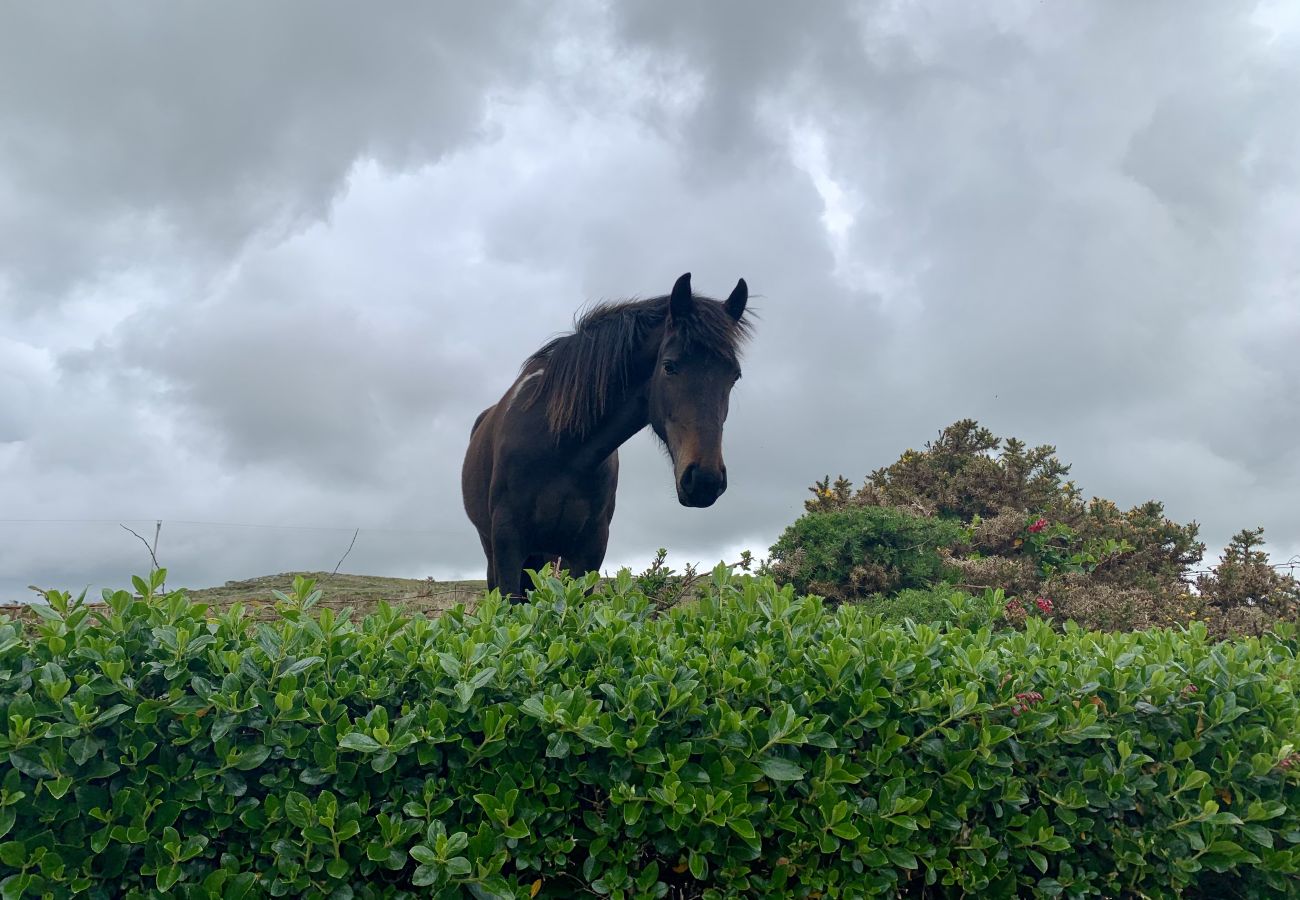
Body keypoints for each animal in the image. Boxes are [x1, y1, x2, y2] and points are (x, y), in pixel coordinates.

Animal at [465, 270, 759, 600]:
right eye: (669, 366)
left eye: (734, 375)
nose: (704, 480)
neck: (561, 450)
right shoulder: (507, 543)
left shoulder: (590, 548)